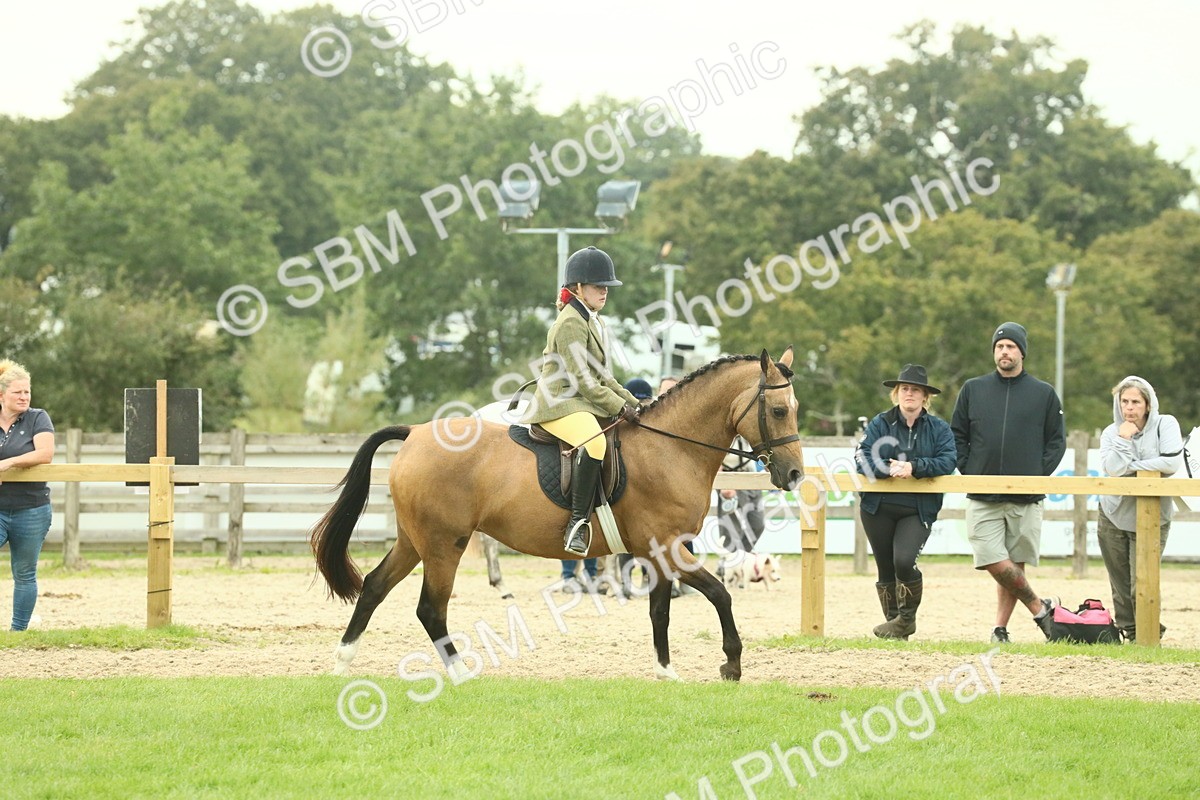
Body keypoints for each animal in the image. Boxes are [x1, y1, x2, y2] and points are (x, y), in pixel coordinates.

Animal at [311, 348, 804, 682]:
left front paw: (666, 672)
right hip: (443, 545)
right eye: (779, 410)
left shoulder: (661, 553)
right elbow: (720, 593)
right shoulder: (667, 547)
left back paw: (342, 662)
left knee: (374, 587)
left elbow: (660, 611)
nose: (795, 473)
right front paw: (731, 664)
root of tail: (414, 433)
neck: (671, 447)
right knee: (430, 609)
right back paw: (460, 671)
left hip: (414, 542)